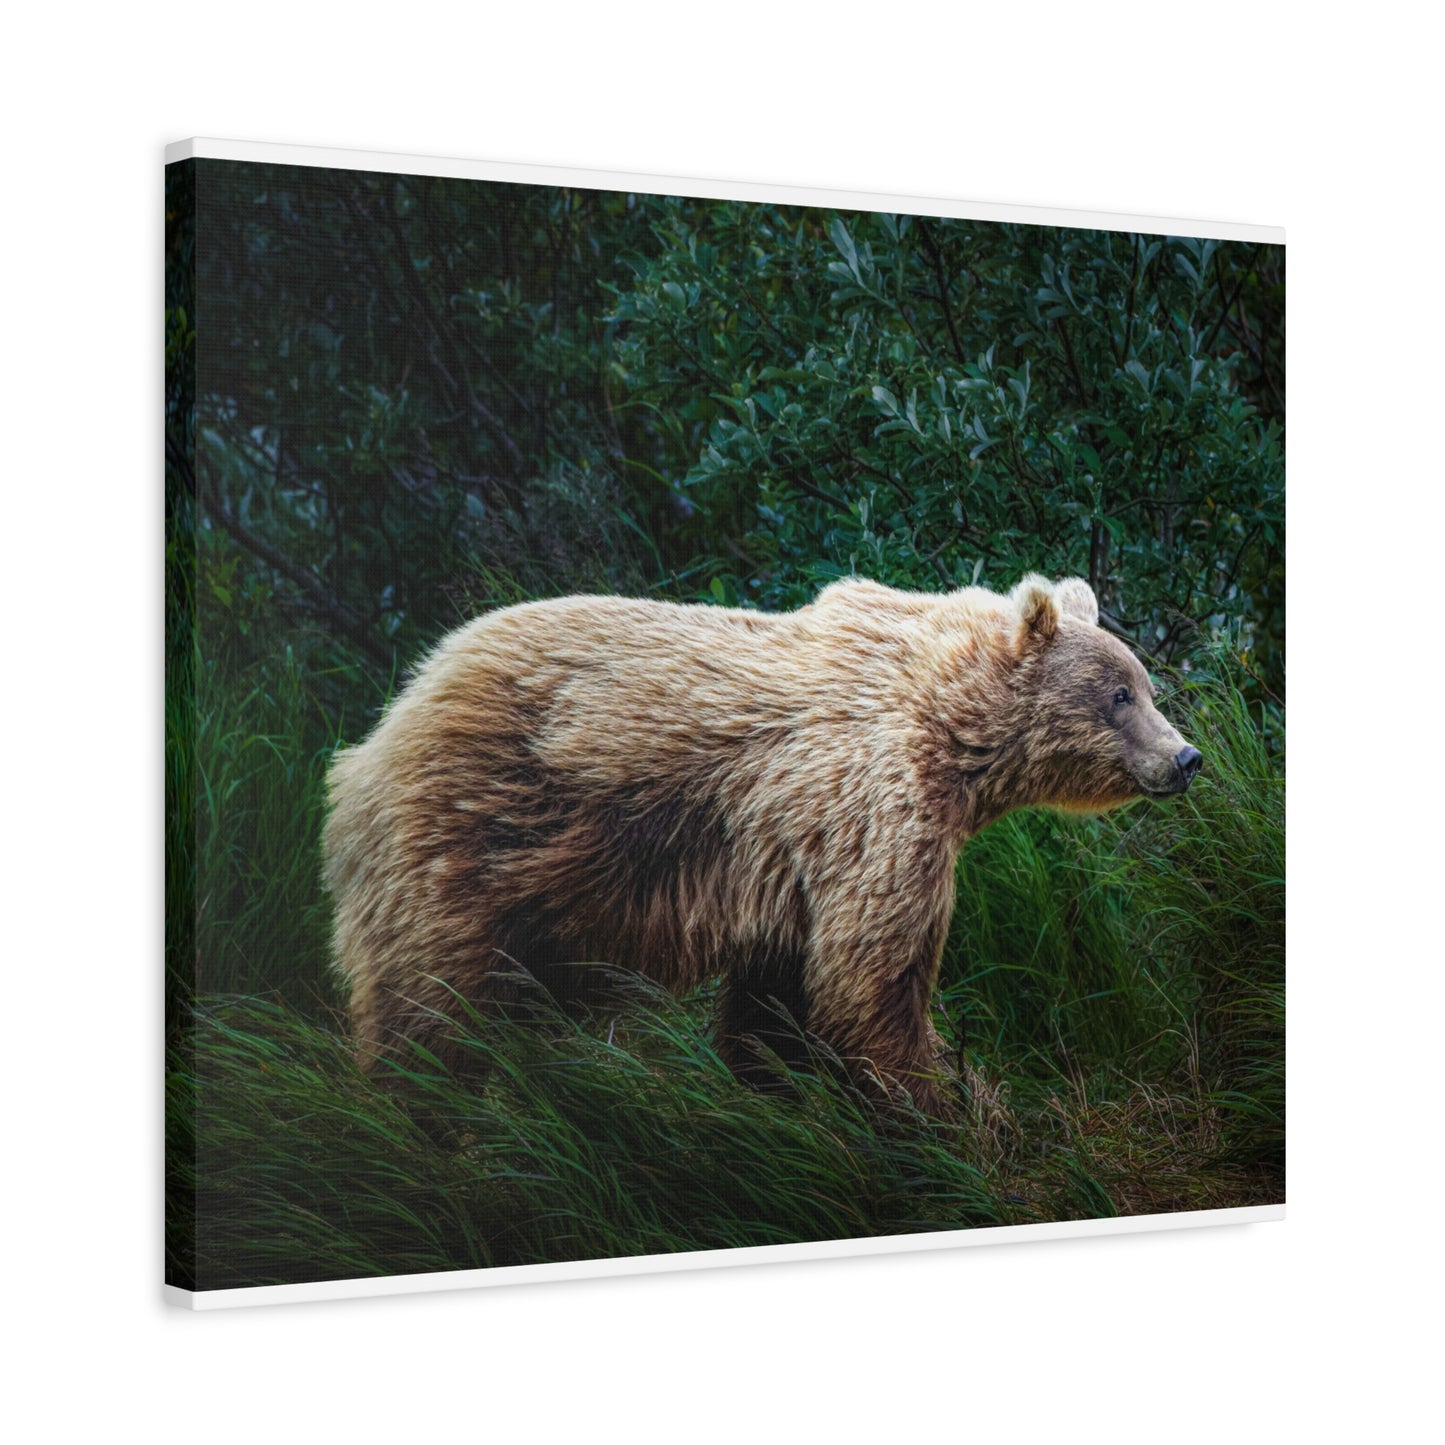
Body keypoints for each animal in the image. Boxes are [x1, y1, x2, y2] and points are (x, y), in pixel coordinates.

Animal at [322, 574, 1201, 1117]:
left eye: (1145, 683)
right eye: (1118, 694)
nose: (1185, 757)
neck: (954, 736)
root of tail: (381, 727)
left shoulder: (791, 865)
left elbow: (778, 1000)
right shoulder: (875, 813)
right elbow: (874, 980)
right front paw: (943, 1101)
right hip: (470, 839)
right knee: (429, 1006)